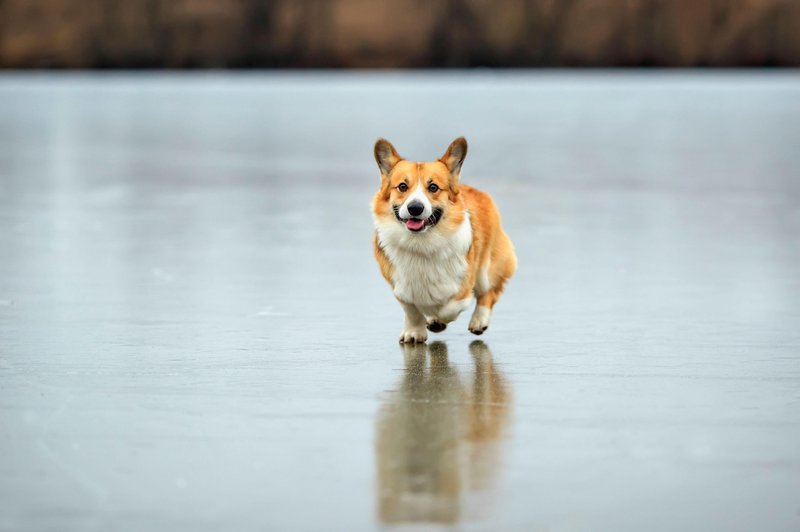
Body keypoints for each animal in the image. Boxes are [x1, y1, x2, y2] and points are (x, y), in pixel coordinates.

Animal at [372, 137, 516, 342]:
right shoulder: (400, 287)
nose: (415, 208)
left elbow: (451, 307)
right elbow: (411, 310)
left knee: (488, 293)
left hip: (488, 268)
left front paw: (438, 320)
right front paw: (414, 332)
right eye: (402, 187)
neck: (421, 243)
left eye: (433, 187)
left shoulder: (464, 284)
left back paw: (478, 321)